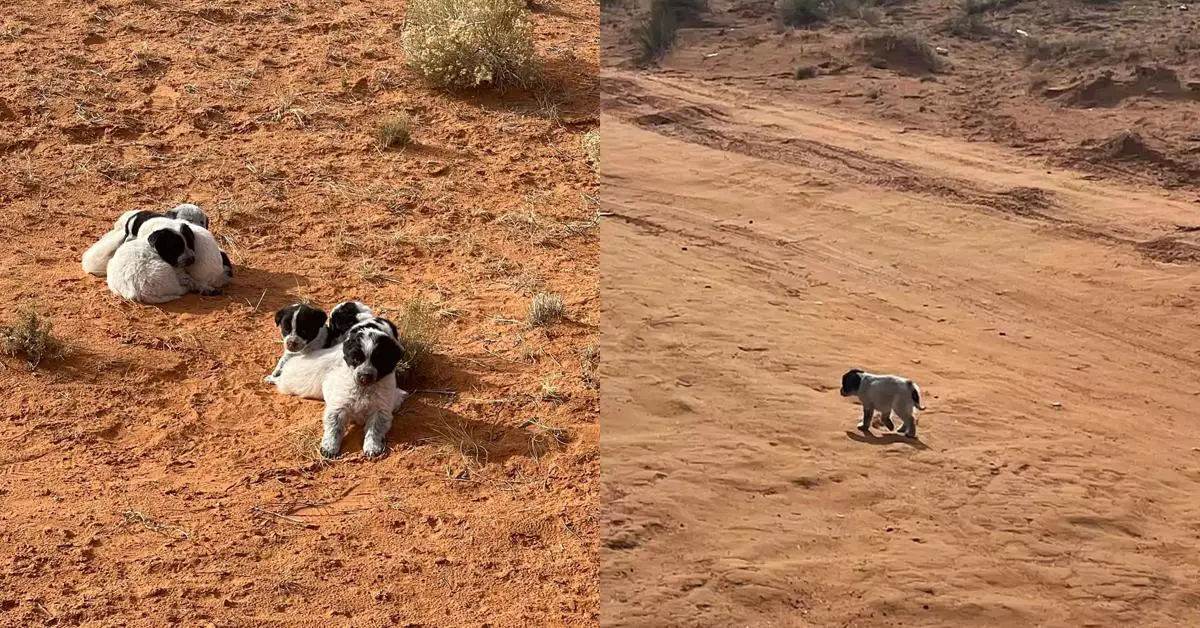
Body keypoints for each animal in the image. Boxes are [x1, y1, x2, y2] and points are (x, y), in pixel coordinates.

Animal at [319, 319, 408, 456]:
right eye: (356, 359)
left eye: (379, 361)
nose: (365, 376)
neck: (364, 389)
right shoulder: (339, 405)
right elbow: (334, 426)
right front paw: (329, 447)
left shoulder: (380, 411)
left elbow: (375, 430)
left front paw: (372, 447)